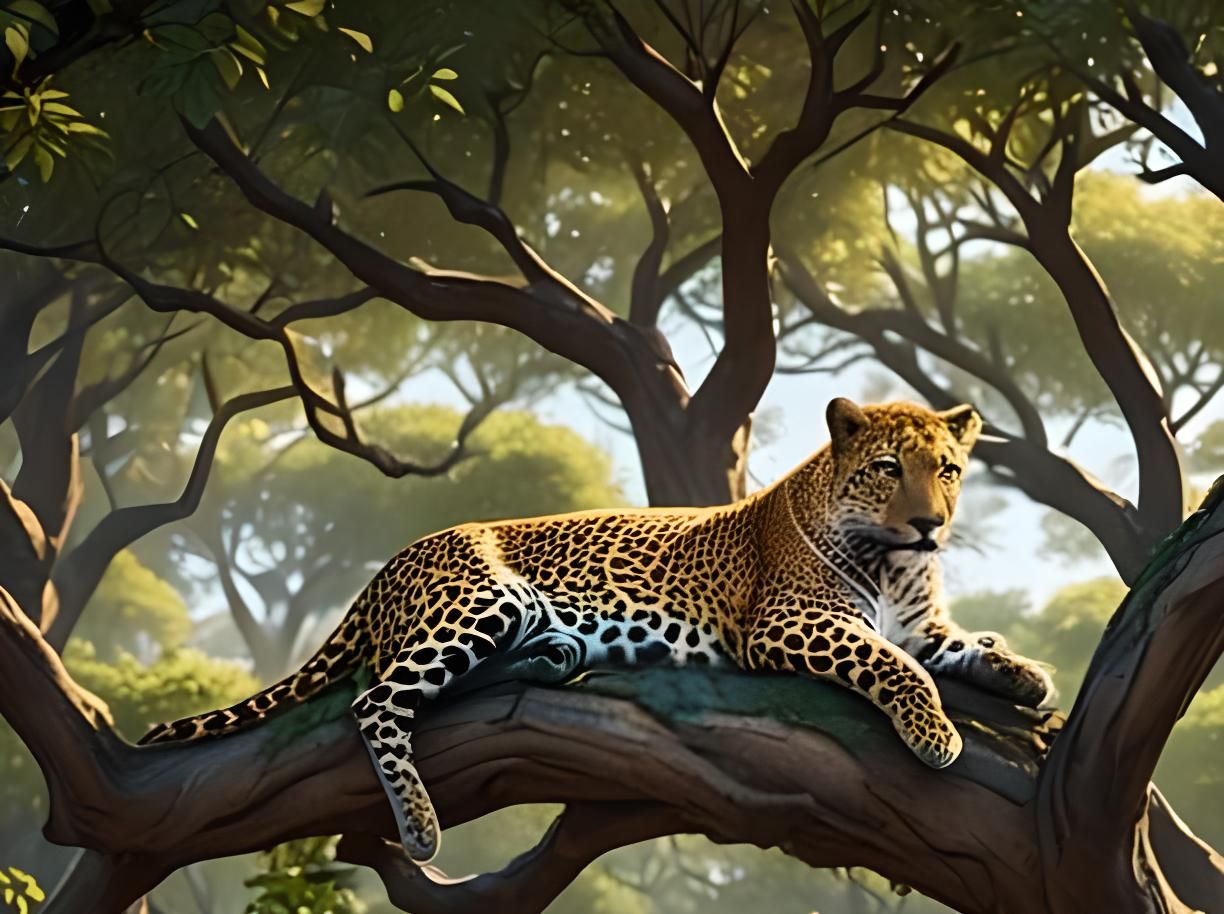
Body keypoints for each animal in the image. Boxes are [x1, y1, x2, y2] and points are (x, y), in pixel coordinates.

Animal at [139, 397, 1053, 863]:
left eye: (948, 470)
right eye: (888, 469)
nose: (933, 524)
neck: (897, 565)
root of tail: (390, 562)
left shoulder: (925, 623)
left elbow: (961, 648)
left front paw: (1027, 675)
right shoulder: (789, 622)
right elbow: (897, 665)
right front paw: (937, 734)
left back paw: (555, 654)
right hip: (480, 602)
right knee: (378, 701)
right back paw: (421, 825)